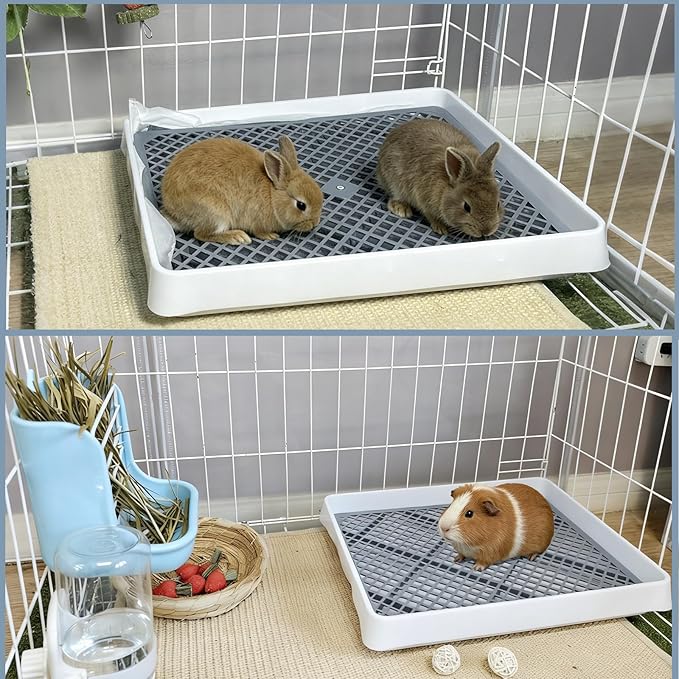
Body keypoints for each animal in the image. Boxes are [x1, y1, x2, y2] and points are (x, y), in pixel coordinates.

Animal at [160, 135, 324, 245]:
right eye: (301, 205)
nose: (315, 223)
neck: (273, 195)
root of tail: (174, 213)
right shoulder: (256, 220)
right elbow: (259, 231)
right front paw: (271, 236)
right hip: (216, 213)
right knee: (201, 234)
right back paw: (237, 237)